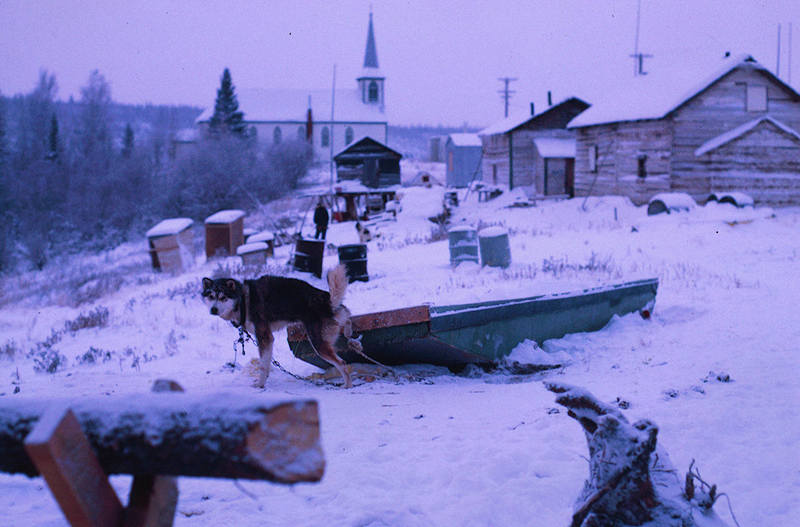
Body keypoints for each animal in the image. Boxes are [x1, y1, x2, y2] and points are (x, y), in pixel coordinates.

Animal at [203, 268, 360, 388]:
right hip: (333, 324)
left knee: (342, 363)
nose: (213, 310)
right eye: (211, 296)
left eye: (223, 297)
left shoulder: (264, 337)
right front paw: (264, 379)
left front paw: (260, 385)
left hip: (318, 344)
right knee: (347, 315)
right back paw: (349, 332)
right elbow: (266, 363)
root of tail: (327, 300)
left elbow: (263, 365)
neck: (243, 301)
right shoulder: (266, 339)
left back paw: (347, 385)